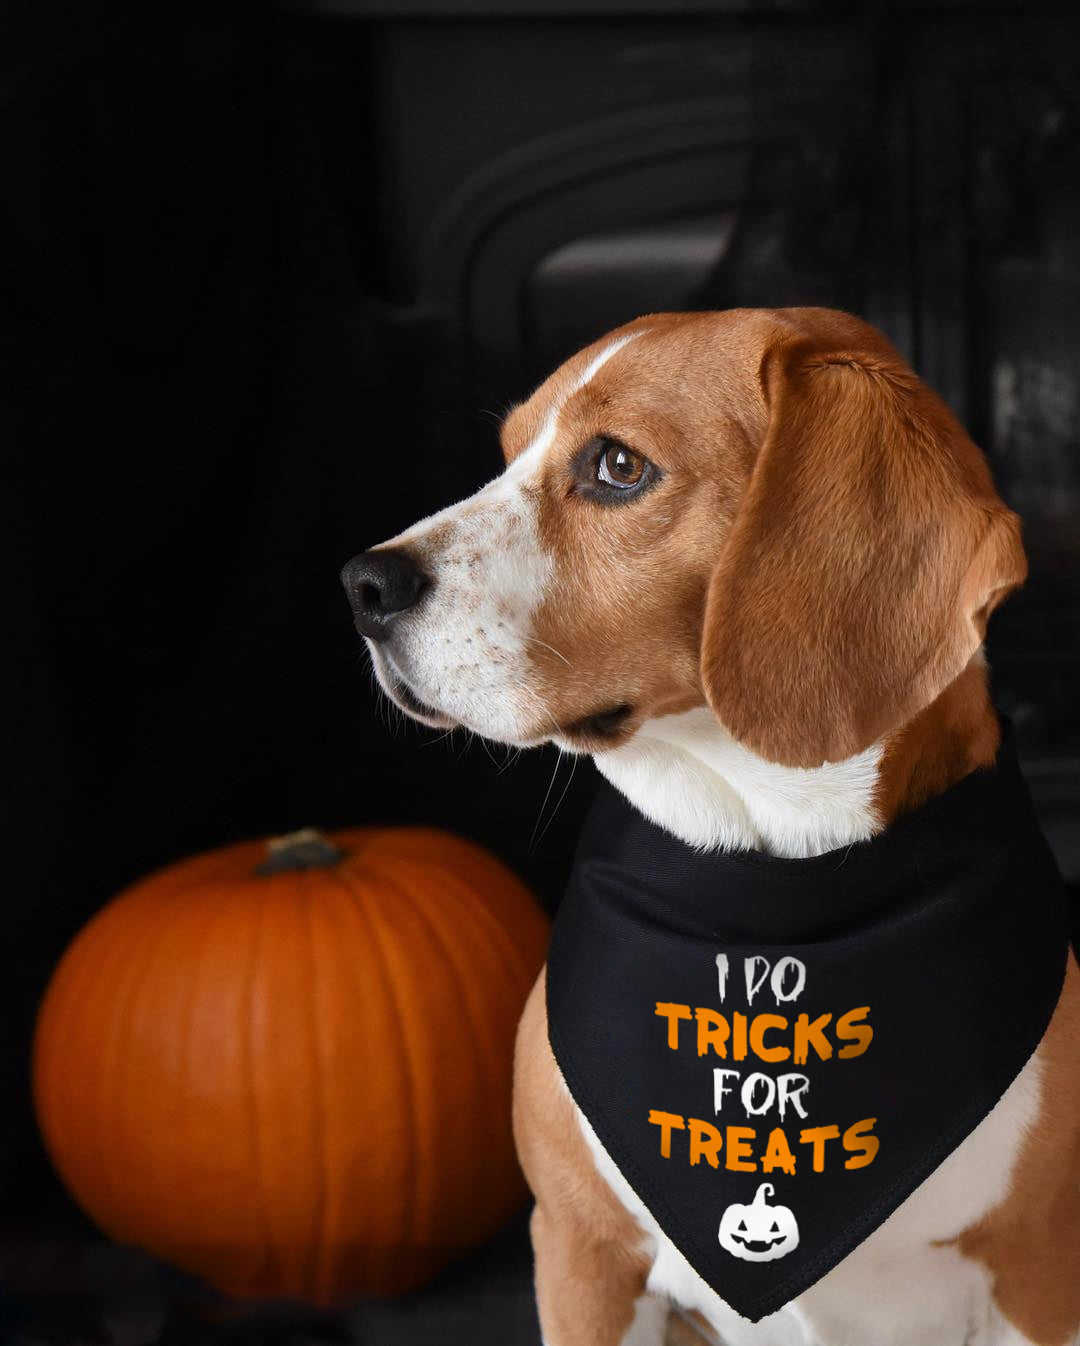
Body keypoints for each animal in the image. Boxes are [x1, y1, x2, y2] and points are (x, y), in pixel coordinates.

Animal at [339, 308, 1077, 1346]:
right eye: (508, 455)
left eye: (617, 466)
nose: (362, 586)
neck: (775, 885)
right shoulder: (582, 1253)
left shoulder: (1039, 1269)